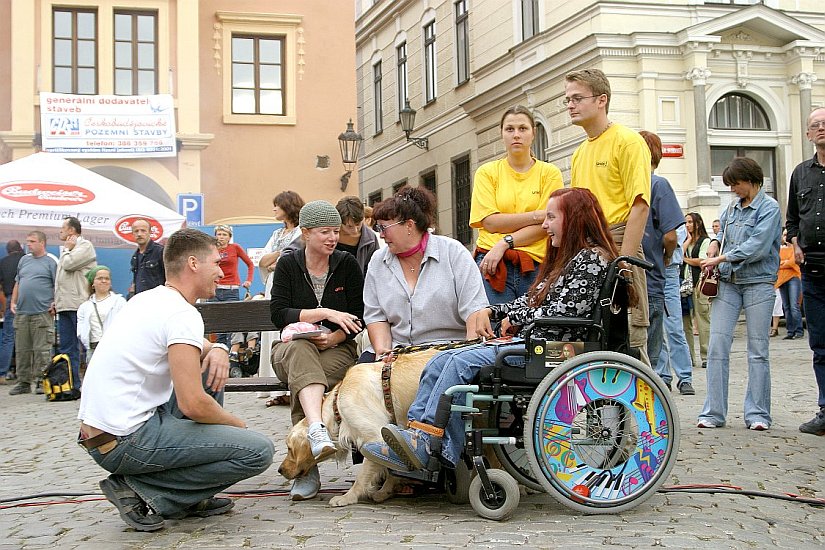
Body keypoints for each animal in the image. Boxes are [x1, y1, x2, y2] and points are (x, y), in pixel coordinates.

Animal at [280, 350, 440, 508]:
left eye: (289, 449)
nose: (280, 470)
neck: (337, 407)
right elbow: (393, 468)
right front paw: (385, 491)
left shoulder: (375, 438)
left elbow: (362, 476)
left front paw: (347, 497)